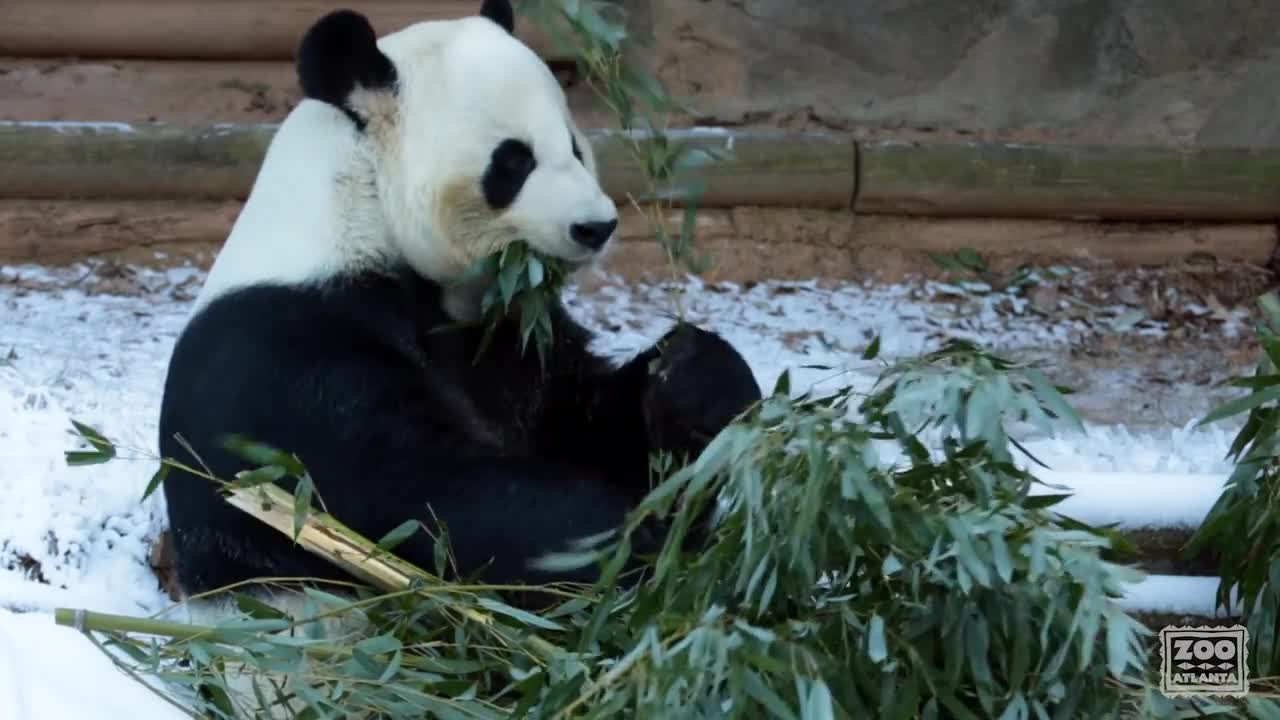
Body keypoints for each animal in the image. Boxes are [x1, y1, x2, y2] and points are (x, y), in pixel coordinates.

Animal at [158, 0, 757, 609]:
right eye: (513, 162)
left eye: (573, 146)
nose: (596, 227)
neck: (361, 209)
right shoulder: (289, 350)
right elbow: (403, 490)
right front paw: (619, 542)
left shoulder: (509, 335)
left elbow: (589, 427)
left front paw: (692, 375)